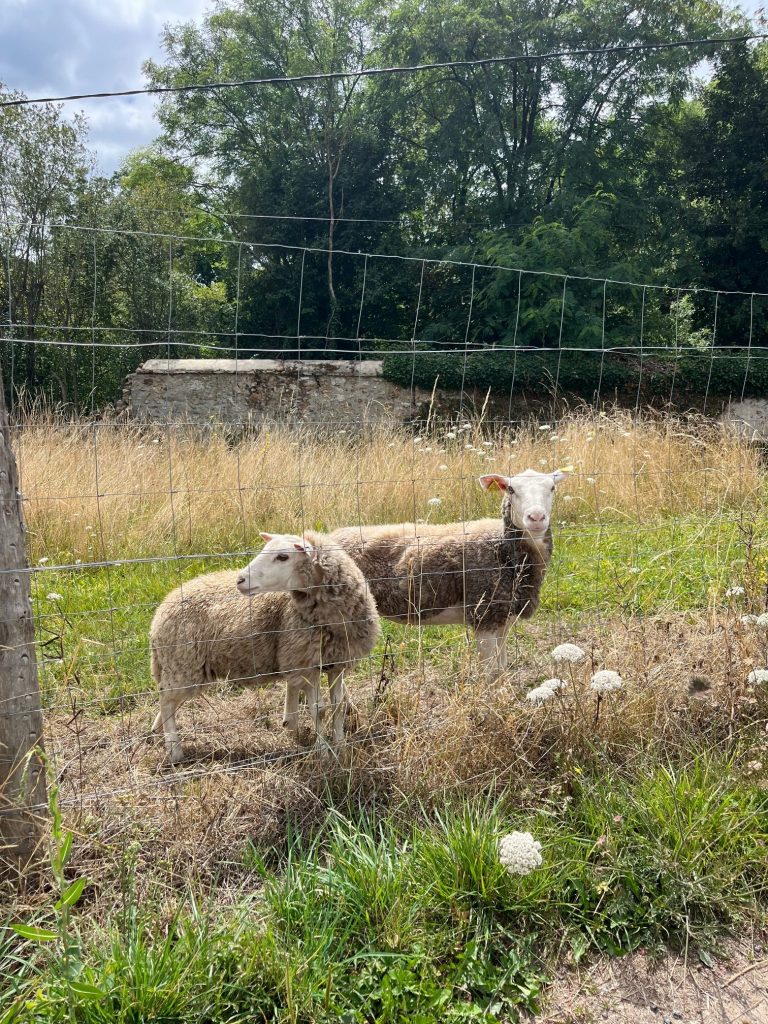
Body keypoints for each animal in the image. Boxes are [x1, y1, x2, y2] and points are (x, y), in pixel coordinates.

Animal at [150, 531, 380, 763]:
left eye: (283, 557)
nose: (240, 580)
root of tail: (161, 610)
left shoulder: (337, 661)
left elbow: (338, 707)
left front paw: (342, 749)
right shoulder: (304, 664)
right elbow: (318, 710)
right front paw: (324, 754)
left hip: (182, 666)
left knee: (169, 700)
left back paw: (159, 732)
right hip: (183, 662)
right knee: (166, 700)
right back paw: (174, 750)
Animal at [330, 469, 567, 680]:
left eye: (552, 488)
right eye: (511, 489)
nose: (536, 517)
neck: (502, 550)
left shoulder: (503, 617)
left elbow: (501, 669)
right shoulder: (484, 614)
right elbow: (490, 674)